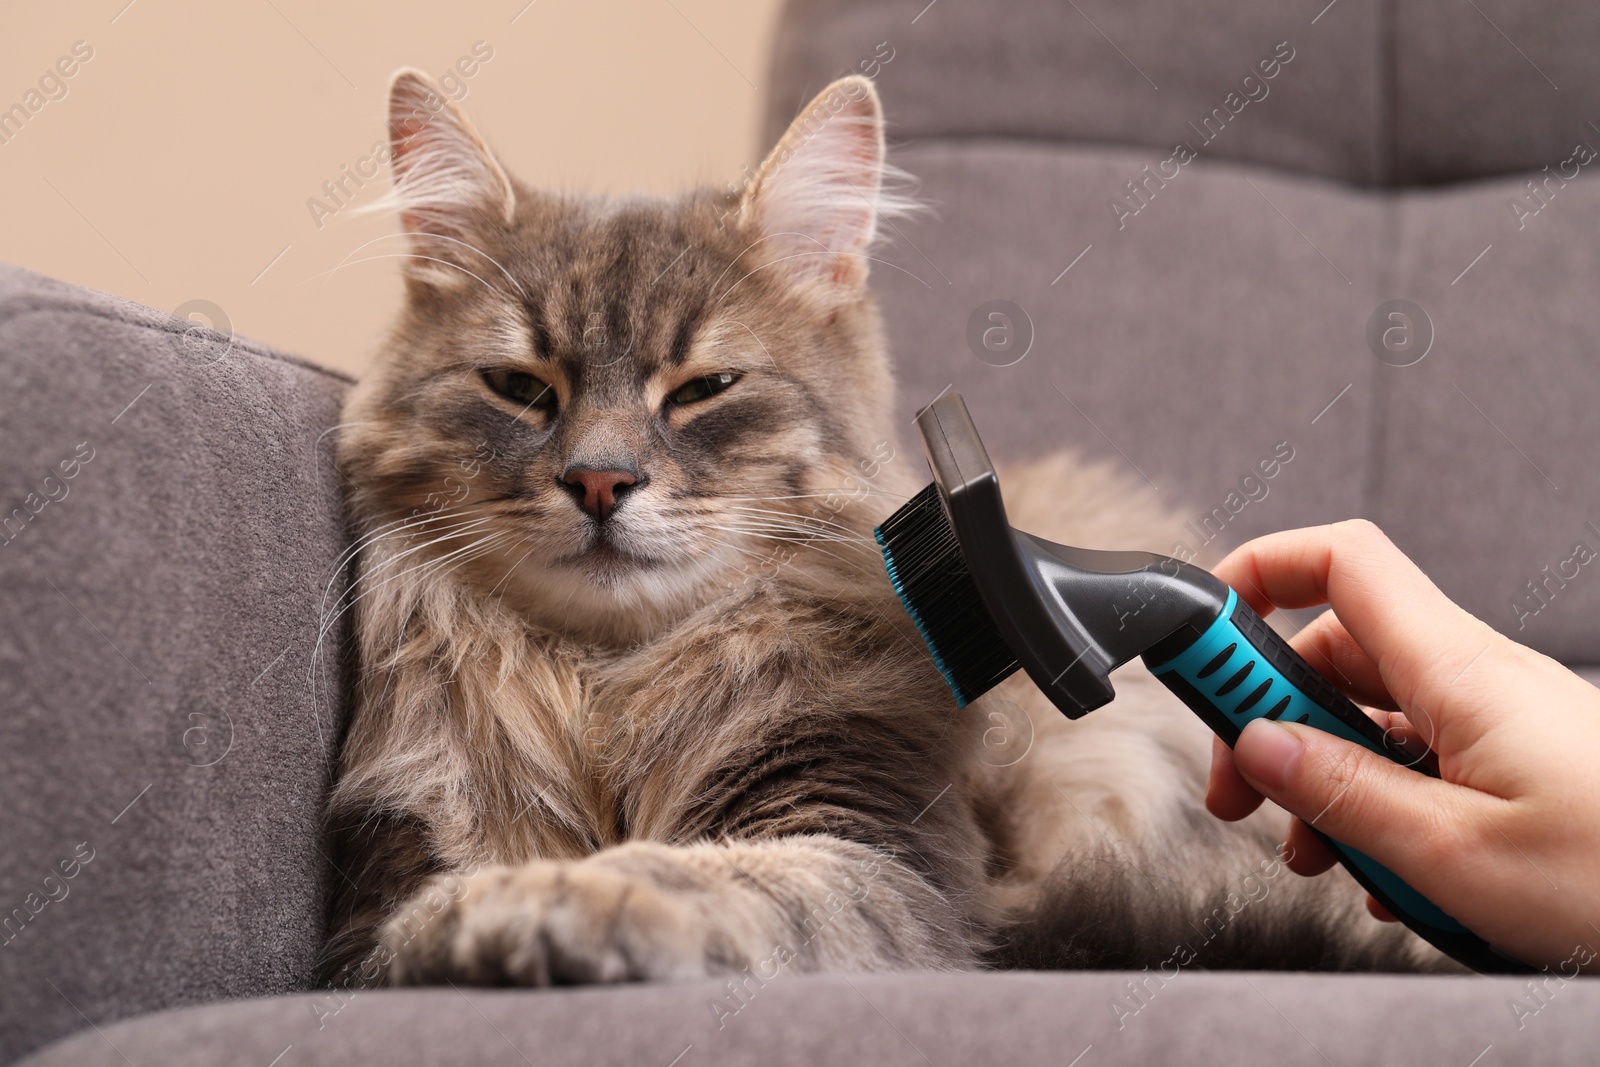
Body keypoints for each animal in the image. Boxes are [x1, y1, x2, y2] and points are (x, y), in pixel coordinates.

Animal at [324, 64, 1440, 985]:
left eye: (704, 390)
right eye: (519, 389)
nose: (600, 479)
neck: (607, 683)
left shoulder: (873, 845)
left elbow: (714, 879)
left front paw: (534, 905)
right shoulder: (395, 856)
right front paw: (465, 914)